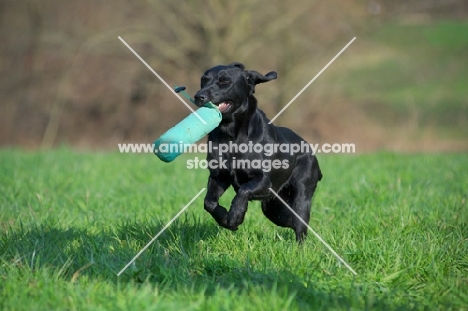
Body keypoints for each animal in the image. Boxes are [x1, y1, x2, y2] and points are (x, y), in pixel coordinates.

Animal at [194, 62, 322, 244]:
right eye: (203, 80)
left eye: (224, 81)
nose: (199, 96)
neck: (231, 135)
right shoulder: (219, 176)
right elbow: (209, 202)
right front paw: (225, 218)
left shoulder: (263, 181)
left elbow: (243, 191)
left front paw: (235, 216)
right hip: (273, 206)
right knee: (288, 220)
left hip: (301, 195)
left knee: (300, 226)